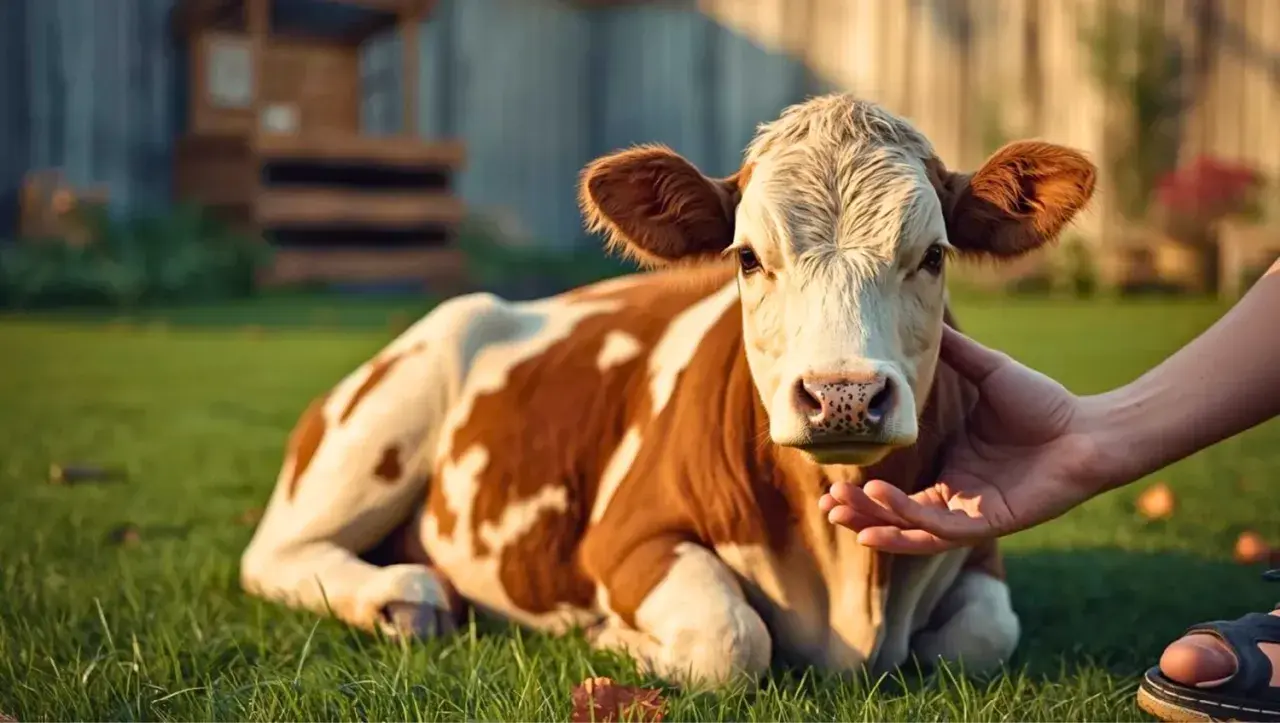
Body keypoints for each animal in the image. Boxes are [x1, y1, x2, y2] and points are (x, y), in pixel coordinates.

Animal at [239, 93, 1096, 688]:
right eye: (747, 256)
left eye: (933, 255)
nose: (843, 395)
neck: (851, 585)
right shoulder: (625, 538)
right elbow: (730, 640)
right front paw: (613, 636)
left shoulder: (976, 544)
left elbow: (981, 637)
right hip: (390, 410)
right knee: (273, 555)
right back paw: (402, 595)